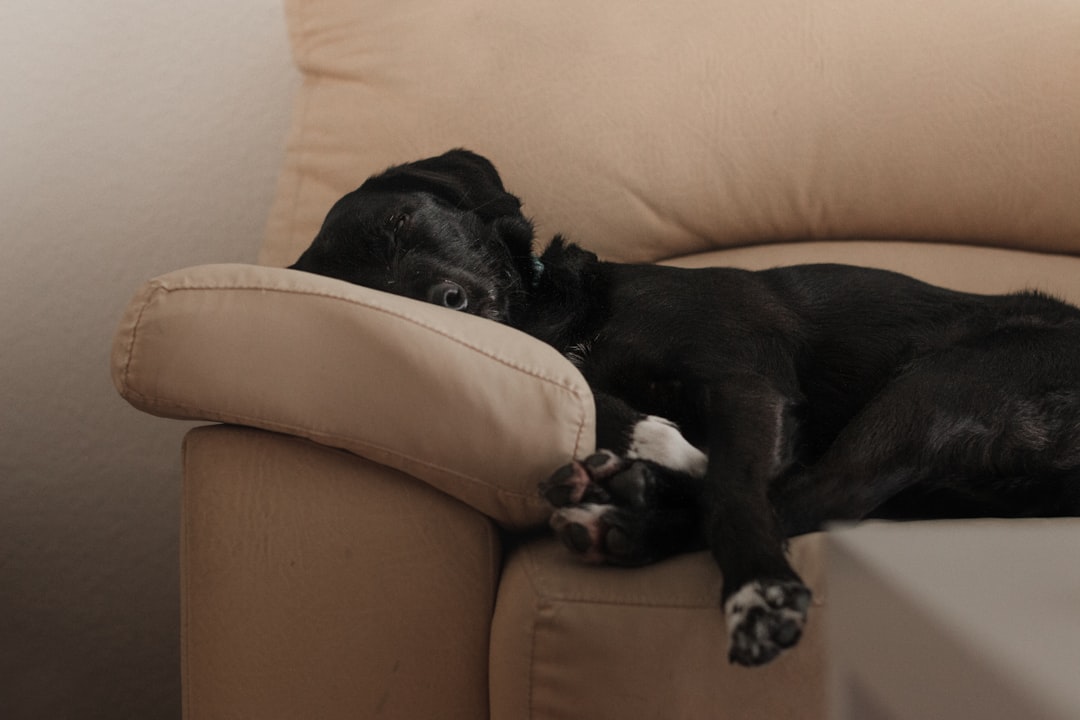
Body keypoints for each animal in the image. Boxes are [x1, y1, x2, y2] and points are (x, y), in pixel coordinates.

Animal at [291, 148, 1080, 669]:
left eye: (403, 221)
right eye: (369, 293)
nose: (447, 303)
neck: (556, 321)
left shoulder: (745, 382)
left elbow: (732, 490)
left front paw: (756, 593)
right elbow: (622, 409)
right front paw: (647, 445)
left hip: (939, 383)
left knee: (815, 493)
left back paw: (629, 517)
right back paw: (620, 507)